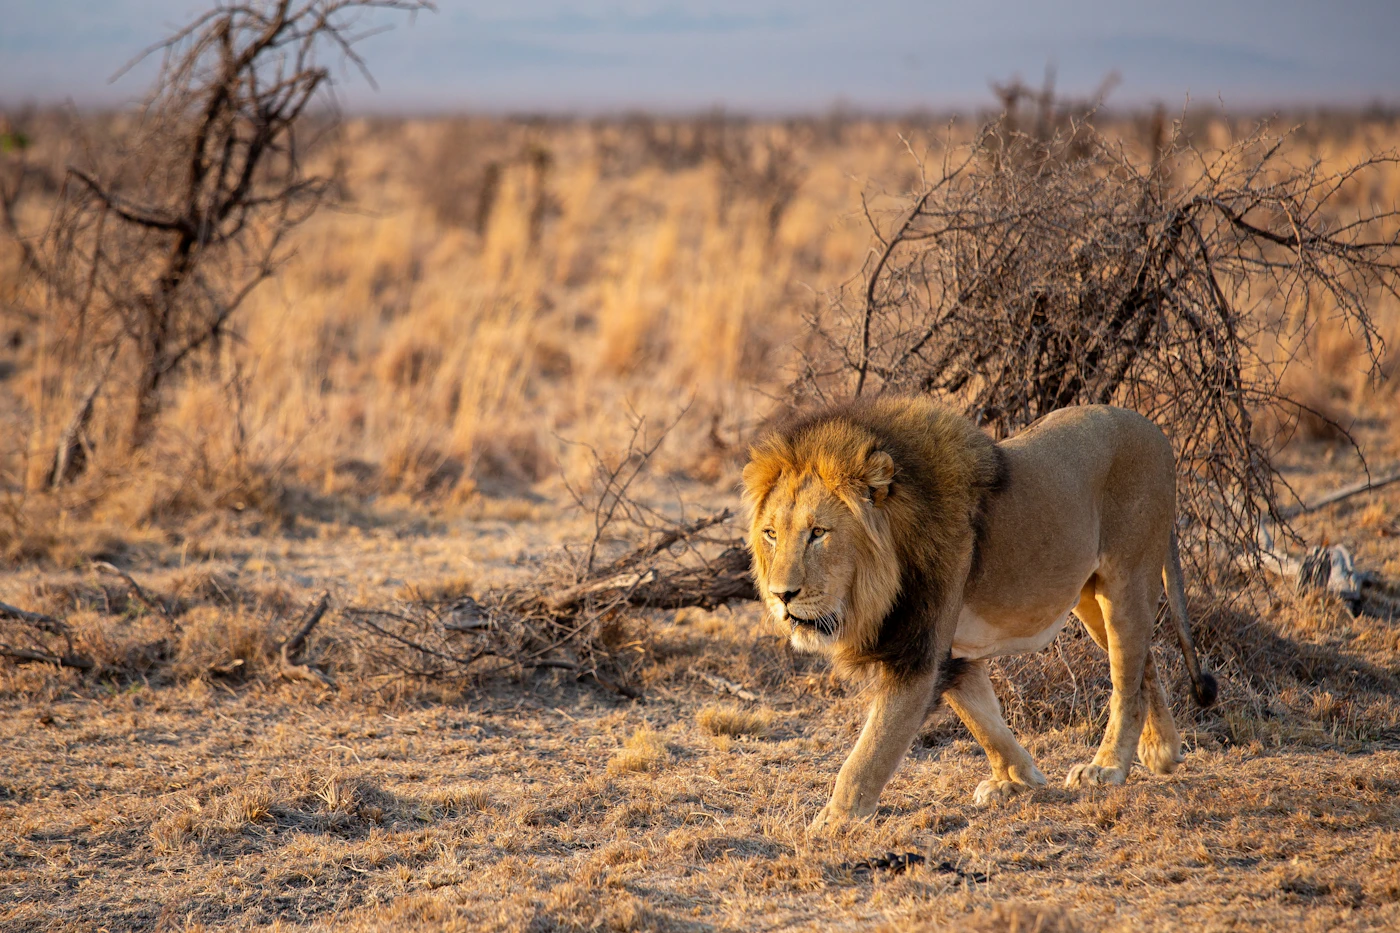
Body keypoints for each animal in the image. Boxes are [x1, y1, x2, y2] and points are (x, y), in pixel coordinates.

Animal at [741, 397, 1218, 830]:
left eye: (818, 533)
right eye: (771, 534)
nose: (781, 595)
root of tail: (1156, 431)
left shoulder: (920, 651)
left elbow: (872, 748)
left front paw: (834, 820)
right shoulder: (952, 650)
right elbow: (983, 718)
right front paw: (1018, 779)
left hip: (1126, 580)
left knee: (1126, 678)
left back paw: (1109, 767)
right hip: (1090, 597)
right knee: (1143, 663)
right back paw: (1162, 750)